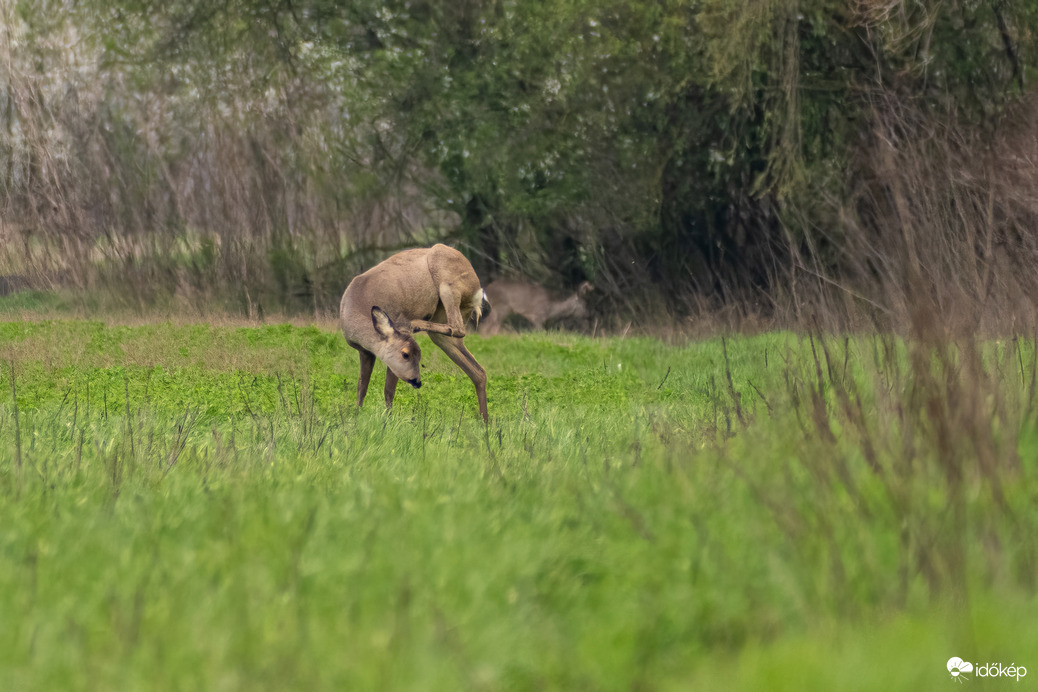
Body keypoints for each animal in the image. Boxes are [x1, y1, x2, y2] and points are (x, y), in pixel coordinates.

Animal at [340, 244, 490, 422]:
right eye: (405, 354)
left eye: (418, 355)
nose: (417, 381)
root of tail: (478, 289)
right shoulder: (365, 352)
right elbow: (361, 387)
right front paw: (355, 416)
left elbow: (388, 391)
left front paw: (388, 420)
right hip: (442, 322)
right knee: (478, 371)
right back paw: (485, 421)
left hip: (448, 283)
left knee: (458, 328)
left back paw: (415, 324)